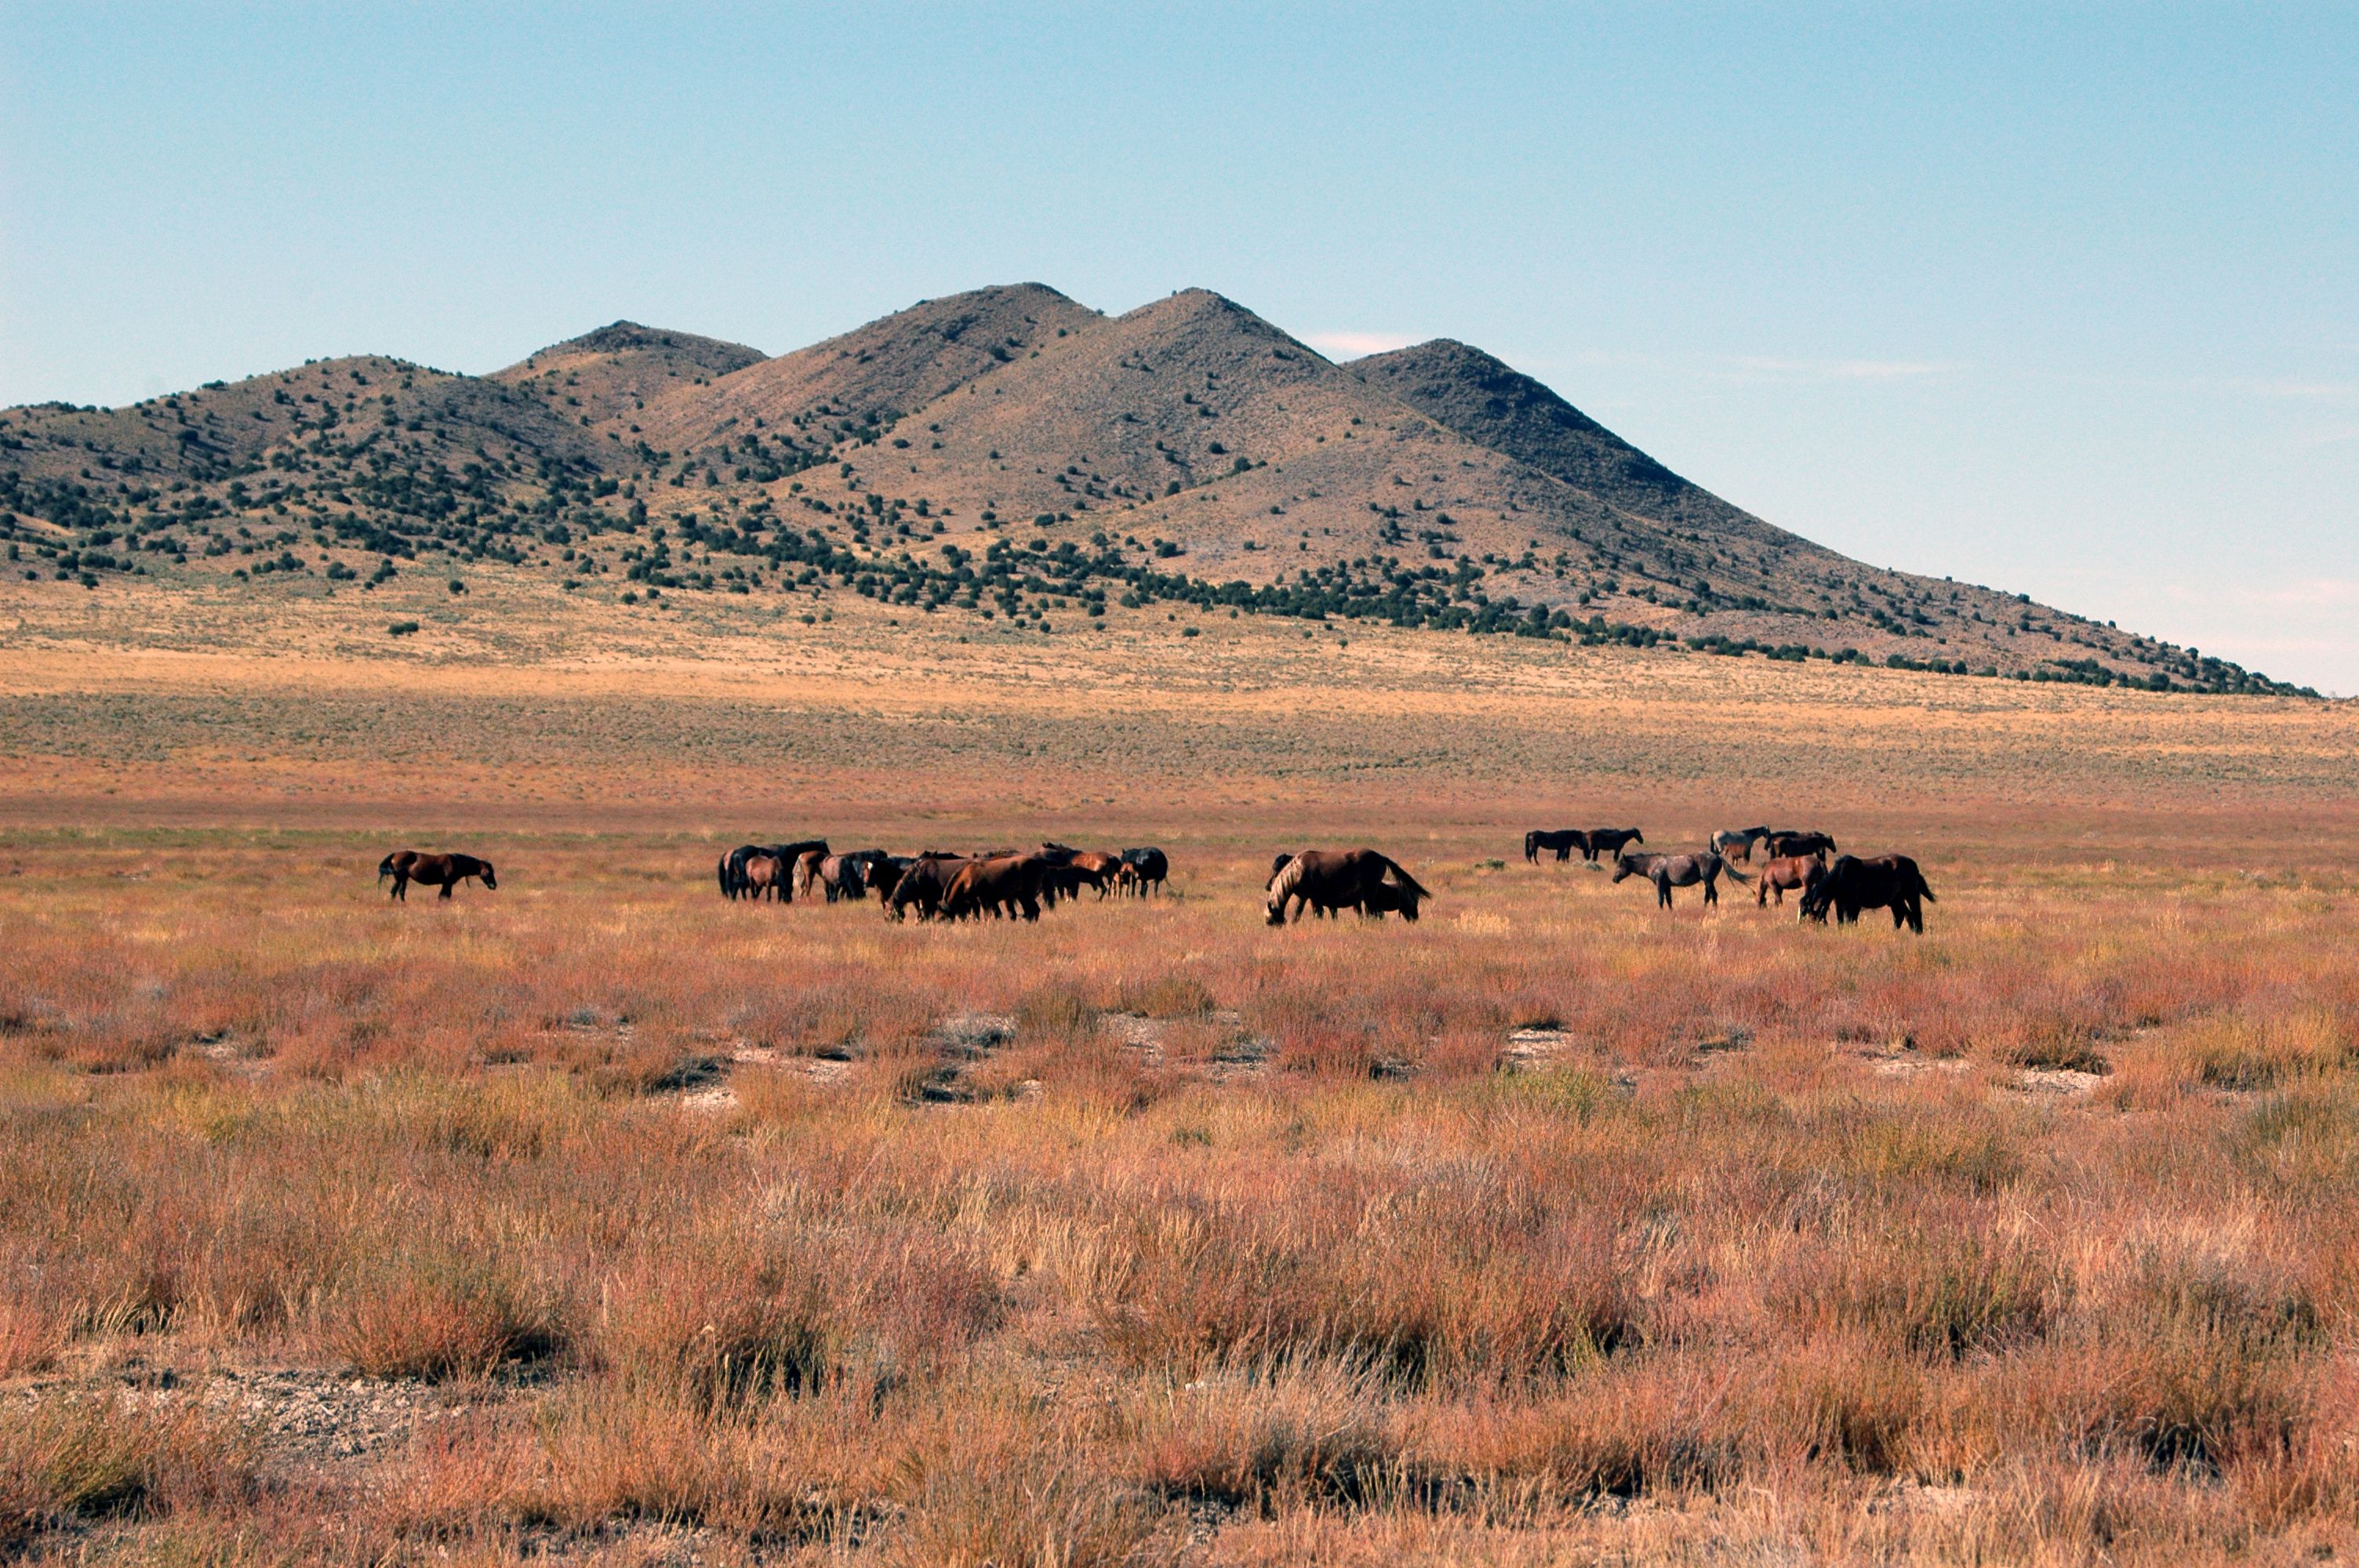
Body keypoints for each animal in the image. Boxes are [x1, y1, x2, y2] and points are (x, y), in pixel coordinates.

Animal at [379, 851, 496, 902]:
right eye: (489, 871)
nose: (494, 885)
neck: (457, 862)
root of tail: (395, 855)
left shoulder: (447, 884)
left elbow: (444, 896)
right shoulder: (447, 883)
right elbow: (444, 896)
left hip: (404, 879)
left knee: (400, 892)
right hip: (400, 878)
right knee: (395, 891)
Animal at [1266, 849, 1431, 926]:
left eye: (1276, 868)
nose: (1268, 886)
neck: (1298, 870)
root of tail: (1380, 857)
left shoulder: (1310, 898)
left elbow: (1302, 912)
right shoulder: (1319, 901)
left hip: (1370, 895)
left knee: (1373, 913)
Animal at [1612, 850, 1747, 910]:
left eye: (1620, 865)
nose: (1614, 879)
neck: (1653, 863)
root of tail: (1718, 857)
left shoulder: (1660, 885)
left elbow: (1660, 900)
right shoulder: (1667, 886)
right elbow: (1669, 901)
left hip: (1709, 881)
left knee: (1714, 895)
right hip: (1707, 882)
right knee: (1707, 897)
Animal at [1799, 854, 1935, 933]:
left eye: (1811, 914)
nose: (1815, 929)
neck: (1839, 876)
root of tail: (1914, 866)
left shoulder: (1853, 904)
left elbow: (1851, 919)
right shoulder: (1839, 902)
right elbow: (1841, 919)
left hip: (1911, 895)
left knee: (1915, 913)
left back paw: (1918, 933)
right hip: (1896, 900)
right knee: (1904, 915)